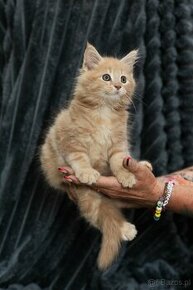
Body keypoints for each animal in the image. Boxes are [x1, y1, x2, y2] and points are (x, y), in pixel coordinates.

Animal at [40, 43, 152, 270]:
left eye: (124, 79)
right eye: (106, 77)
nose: (118, 86)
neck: (104, 112)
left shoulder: (118, 144)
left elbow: (120, 161)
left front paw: (126, 175)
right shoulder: (70, 139)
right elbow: (79, 158)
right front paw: (87, 172)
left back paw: (143, 165)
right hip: (86, 195)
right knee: (99, 216)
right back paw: (125, 229)